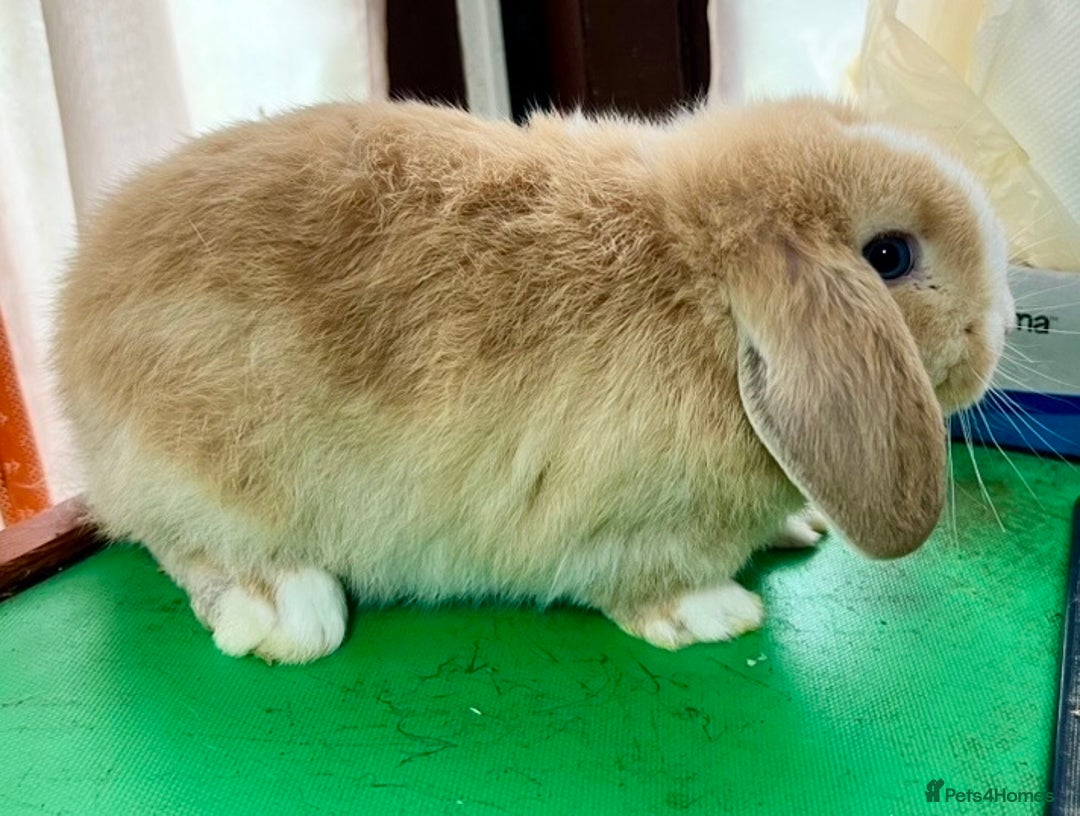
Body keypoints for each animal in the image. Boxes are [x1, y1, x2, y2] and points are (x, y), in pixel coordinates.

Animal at [53, 98, 1013, 663]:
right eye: (889, 257)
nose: (1000, 326)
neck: (704, 291)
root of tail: (73, 331)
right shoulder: (624, 526)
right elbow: (650, 585)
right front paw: (716, 616)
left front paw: (796, 529)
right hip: (205, 473)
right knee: (186, 546)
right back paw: (283, 612)